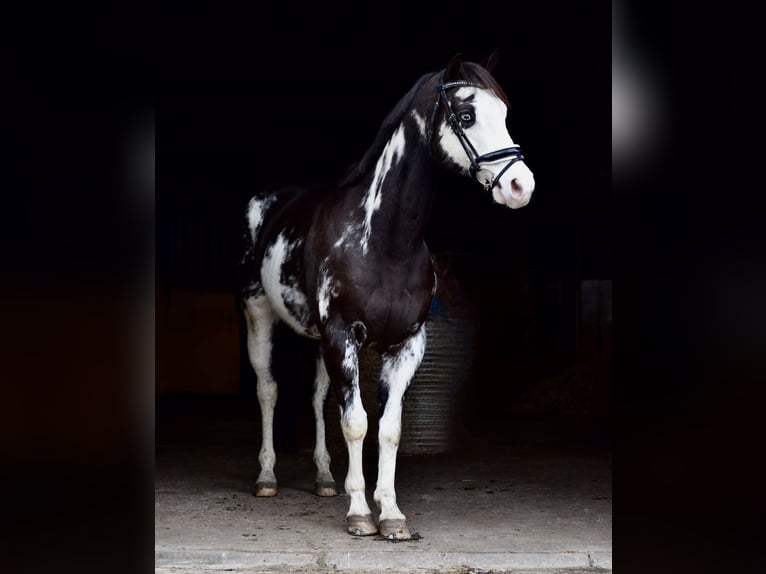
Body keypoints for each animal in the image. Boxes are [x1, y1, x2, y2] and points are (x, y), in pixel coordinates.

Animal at [239, 52, 535, 540]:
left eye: (506, 115)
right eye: (467, 115)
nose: (521, 187)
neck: (384, 241)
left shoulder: (406, 344)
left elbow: (389, 428)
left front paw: (392, 514)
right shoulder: (343, 335)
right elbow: (357, 423)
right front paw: (360, 513)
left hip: (318, 340)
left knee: (317, 396)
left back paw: (324, 479)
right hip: (260, 315)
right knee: (268, 390)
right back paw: (266, 477)